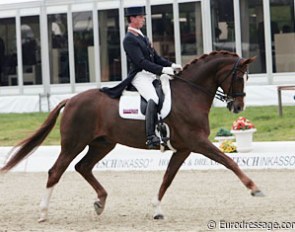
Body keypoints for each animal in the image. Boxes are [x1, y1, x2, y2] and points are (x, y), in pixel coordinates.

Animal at [0, 50, 264, 221]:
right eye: (239, 76)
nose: (238, 107)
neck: (190, 94)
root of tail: (71, 99)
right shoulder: (197, 142)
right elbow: (229, 161)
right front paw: (255, 189)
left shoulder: (184, 148)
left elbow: (168, 178)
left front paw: (157, 210)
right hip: (73, 143)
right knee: (56, 171)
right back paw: (43, 213)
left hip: (102, 144)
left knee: (83, 167)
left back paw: (100, 202)